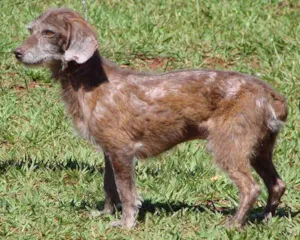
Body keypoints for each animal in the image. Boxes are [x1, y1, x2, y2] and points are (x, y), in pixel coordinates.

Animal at [14, 7, 288, 229]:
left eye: (49, 32)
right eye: (31, 30)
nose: (16, 52)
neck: (90, 81)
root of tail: (270, 94)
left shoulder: (123, 151)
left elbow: (126, 193)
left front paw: (126, 224)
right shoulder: (109, 152)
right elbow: (109, 186)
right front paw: (106, 214)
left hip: (228, 147)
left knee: (251, 188)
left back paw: (233, 224)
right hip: (260, 149)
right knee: (277, 184)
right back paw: (264, 219)